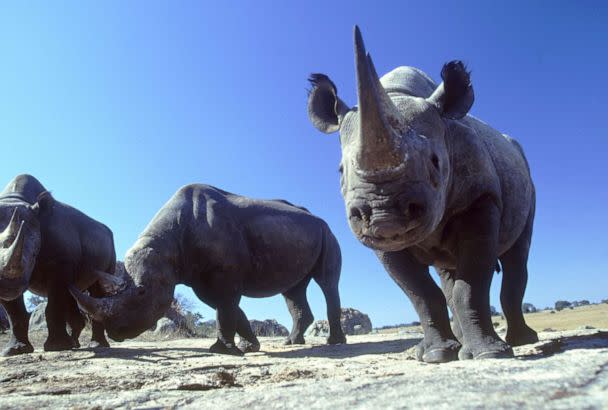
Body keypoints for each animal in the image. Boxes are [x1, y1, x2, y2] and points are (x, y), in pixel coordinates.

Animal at [0, 175, 119, 354]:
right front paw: (15, 350)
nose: (5, 286)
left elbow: (55, 304)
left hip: (109, 245)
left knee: (97, 290)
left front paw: (57, 347)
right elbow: (14, 313)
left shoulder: (61, 262)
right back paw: (75, 344)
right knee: (74, 293)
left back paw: (96, 345)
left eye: (33, 254)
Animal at [70, 184, 344, 354]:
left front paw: (222, 351)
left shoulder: (225, 273)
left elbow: (225, 308)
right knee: (293, 290)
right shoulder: (198, 276)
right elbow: (227, 309)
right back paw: (291, 342)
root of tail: (319, 218)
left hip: (327, 232)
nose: (116, 333)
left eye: (141, 293)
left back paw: (334, 343)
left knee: (327, 283)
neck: (167, 245)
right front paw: (250, 347)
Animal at [308, 27, 536, 364]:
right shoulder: (380, 243)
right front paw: (436, 355)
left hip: (524, 173)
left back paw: (520, 341)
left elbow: (472, 283)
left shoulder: (481, 198)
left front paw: (490, 355)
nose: (383, 218)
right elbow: (420, 293)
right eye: (340, 171)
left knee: (516, 254)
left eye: (435, 162)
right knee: (448, 269)